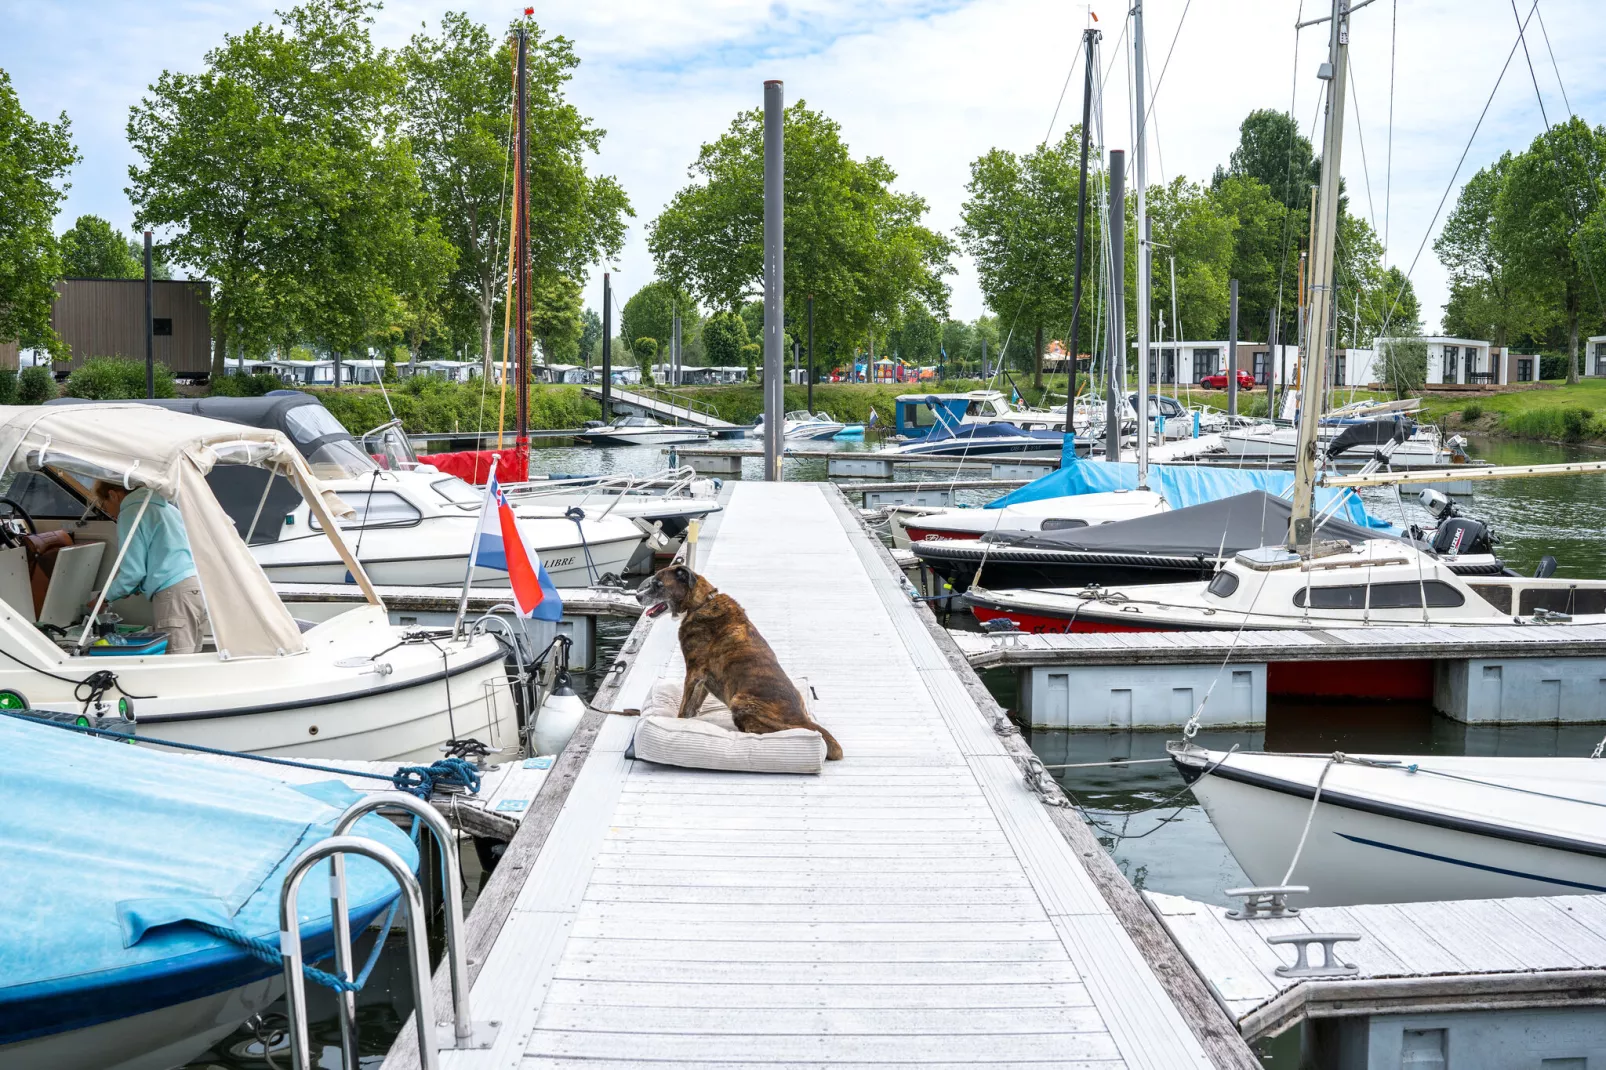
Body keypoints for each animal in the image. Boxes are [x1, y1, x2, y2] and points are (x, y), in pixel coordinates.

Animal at [635, 559, 847, 758]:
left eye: (658, 584)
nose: (637, 596)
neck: (700, 603)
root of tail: (804, 720)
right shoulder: (703, 680)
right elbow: (693, 705)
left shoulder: (693, 672)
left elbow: (683, 706)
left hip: (740, 700)